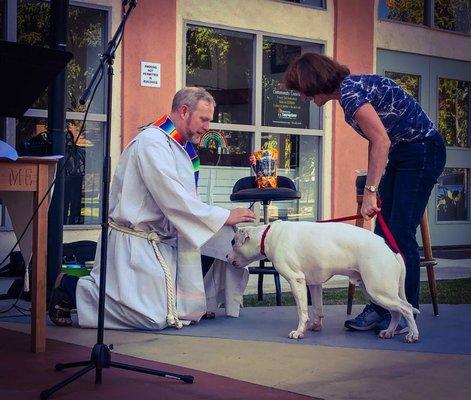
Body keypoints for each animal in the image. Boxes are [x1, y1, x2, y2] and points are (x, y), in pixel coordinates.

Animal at [227, 220, 418, 342]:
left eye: (232, 242)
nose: (227, 256)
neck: (267, 236)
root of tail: (390, 249)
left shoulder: (296, 280)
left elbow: (302, 311)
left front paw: (299, 332)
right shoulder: (314, 284)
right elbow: (317, 308)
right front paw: (315, 326)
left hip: (378, 291)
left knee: (406, 309)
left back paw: (412, 335)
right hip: (374, 290)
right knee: (396, 312)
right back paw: (389, 332)